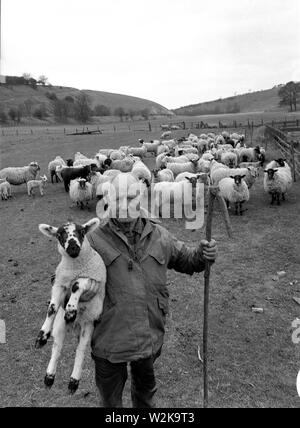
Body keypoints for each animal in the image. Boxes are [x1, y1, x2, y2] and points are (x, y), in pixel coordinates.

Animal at [35, 219, 106, 392]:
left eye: (82, 231)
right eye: (59, 234)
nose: (73, 247)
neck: (75, 268)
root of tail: (76, 325)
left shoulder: (91, 278)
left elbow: (76, 285)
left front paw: (71, 310)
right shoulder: (59, 283)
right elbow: (52, 308)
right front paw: (42, 334)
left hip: (88, 325)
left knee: (80, 351)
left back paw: (74, 381)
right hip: (60, 326)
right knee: (57, 347)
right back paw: (49, 377)